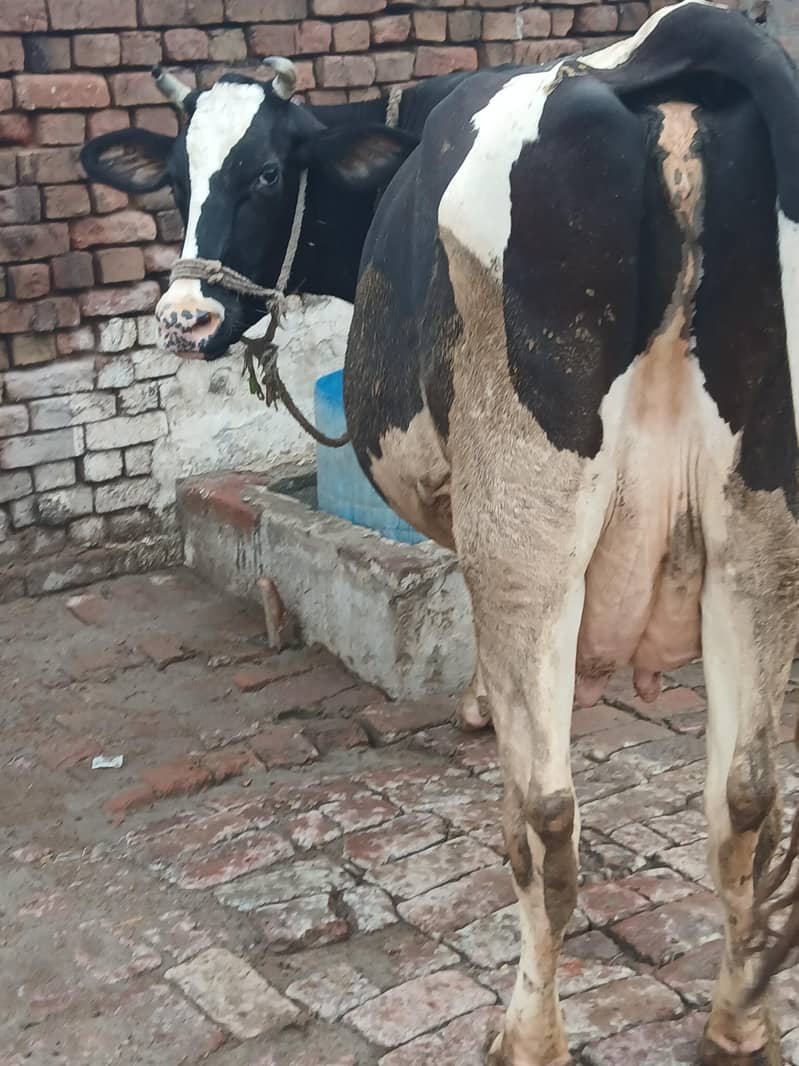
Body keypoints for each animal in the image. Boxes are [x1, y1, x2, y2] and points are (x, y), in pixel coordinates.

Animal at [81, 2, 799, 1061]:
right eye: (175, 177)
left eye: (265, 173)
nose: (183, 317)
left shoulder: (459, 491)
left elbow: (456, 578)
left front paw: (476, 702)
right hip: (760, 529)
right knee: (745, 794)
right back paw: (739, 1014)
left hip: (532, 522)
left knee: (544, 812)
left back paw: (528, 1030)